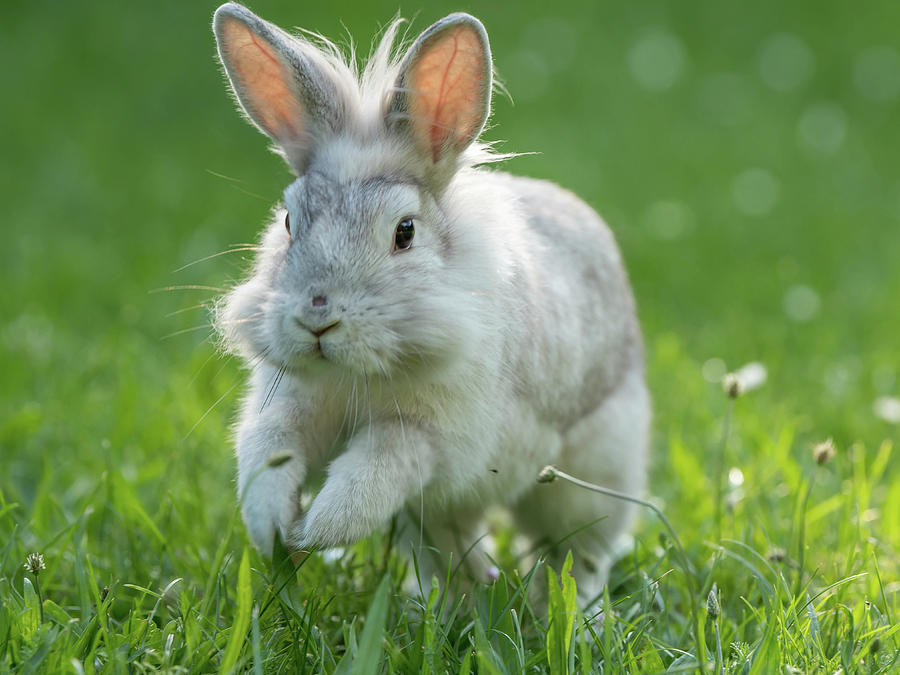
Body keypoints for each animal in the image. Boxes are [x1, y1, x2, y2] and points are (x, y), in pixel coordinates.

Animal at [211, 3, 652, 608]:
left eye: (405, 232)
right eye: (288, 221)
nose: (317, 318)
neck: (360, 374)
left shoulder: (431, 439)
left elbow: (377, 470)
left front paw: (316, 529)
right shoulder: (287, 403)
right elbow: (268, 452)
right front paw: (275, 527)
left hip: (593, 479)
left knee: (576, 556)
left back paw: (565, 611)